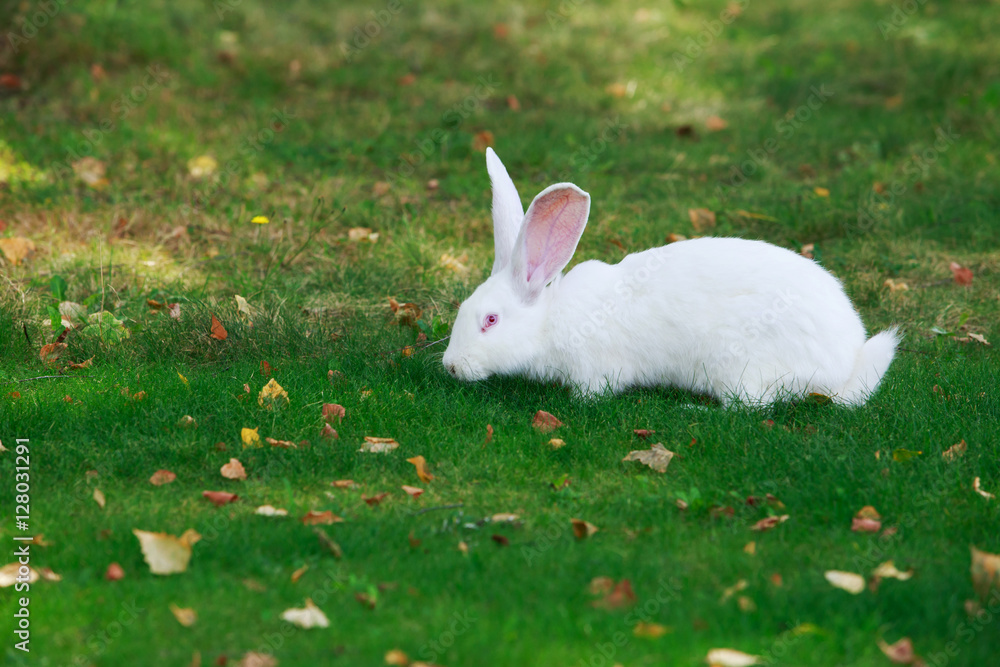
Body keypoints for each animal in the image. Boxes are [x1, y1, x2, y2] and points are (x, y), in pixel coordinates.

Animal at [442, 148, 899, 407]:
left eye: (491, 320)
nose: (451, 366)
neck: (549, 319)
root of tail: (846, 362)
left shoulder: (597, 368)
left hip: (740, 370)